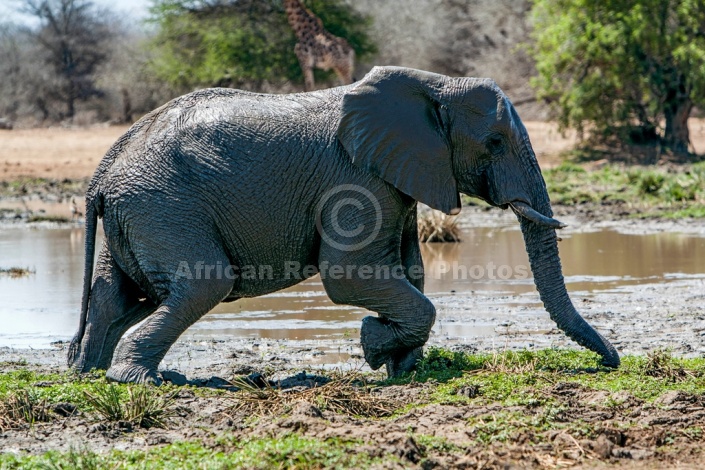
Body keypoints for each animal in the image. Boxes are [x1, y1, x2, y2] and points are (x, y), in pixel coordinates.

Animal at [66, 66, 616, 384]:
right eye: (495, 143)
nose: (612, 363)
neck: (431, 85)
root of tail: (101, 173)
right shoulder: (357, 179)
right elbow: (350, 275)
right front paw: (376, 347)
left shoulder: (399, 175)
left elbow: (411, 271)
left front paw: (397, 363)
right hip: (163, 202)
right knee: (204, 283)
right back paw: (139, 382)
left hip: (140, 210)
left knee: (117, 296)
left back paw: (87, 373)